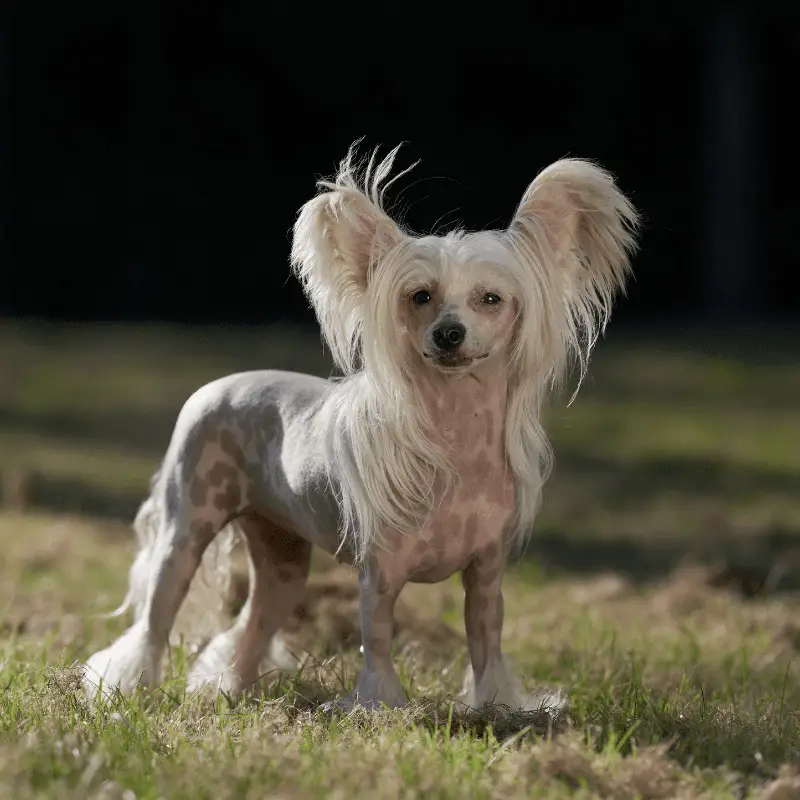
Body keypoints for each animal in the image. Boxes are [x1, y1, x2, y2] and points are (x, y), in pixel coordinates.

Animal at [81, 144, 640, 712]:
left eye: (491, 299)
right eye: (420, 296)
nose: (449, 333)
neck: (456, 437)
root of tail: (218, 383)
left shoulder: (486, 575)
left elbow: (487, 645)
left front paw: (496, 708)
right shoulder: (379, 574)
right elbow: (379, 644)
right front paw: (378, 709)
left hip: (283, 558)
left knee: (252, 625)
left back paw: (231, 690)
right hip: (186, 530)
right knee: (153, 625)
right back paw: (126, 688)